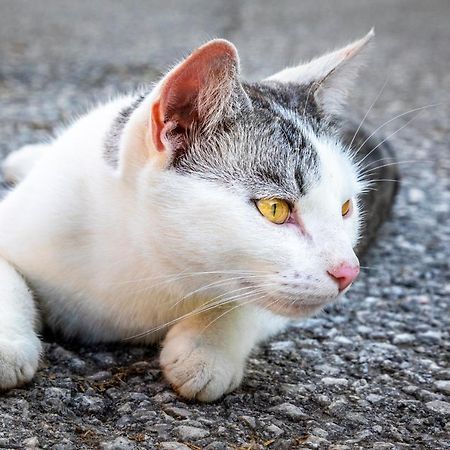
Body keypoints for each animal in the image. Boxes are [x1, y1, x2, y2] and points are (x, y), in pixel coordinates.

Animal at [0, 33, 398, 402]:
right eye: (275, 208)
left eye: (345, 209)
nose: (348, 272)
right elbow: (10, 277)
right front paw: (7, 348)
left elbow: (251, 304)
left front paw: (206, 351)